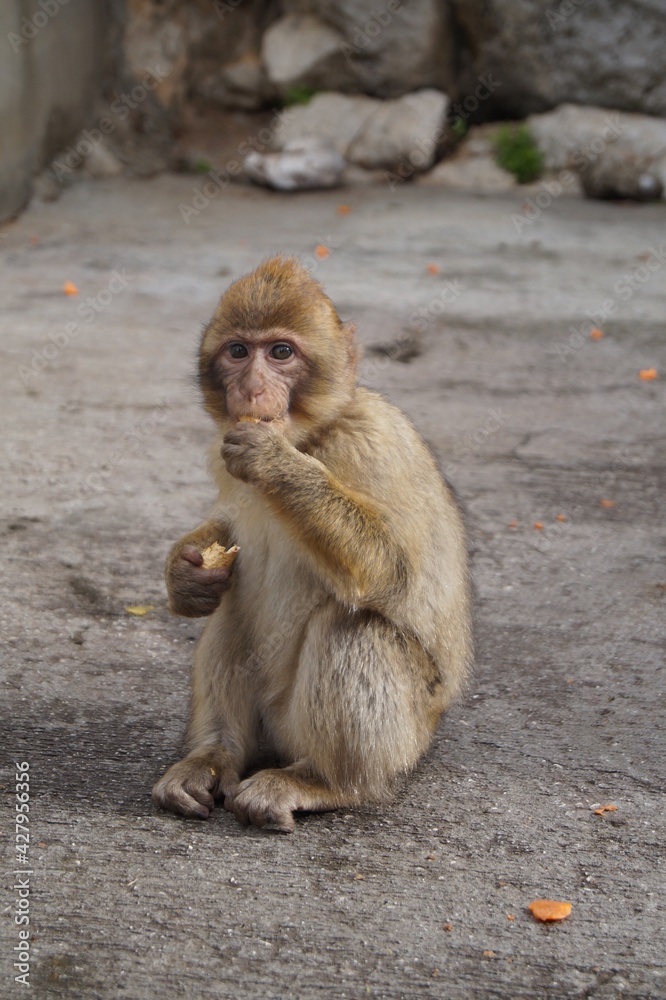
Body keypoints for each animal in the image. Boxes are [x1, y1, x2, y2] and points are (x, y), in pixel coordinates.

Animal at [150, 254, 472, 832]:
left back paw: (327, 782)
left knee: (353, 624)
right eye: (238, 351)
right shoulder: (221, 448)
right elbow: (225, 528)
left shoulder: (373, 442)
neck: (310, 437)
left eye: (281, 353)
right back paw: (213, 757)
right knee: (233, 607)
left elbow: (390, 567)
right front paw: (185, 573)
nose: (253, 389)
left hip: (403, 740)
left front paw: (274, 464)